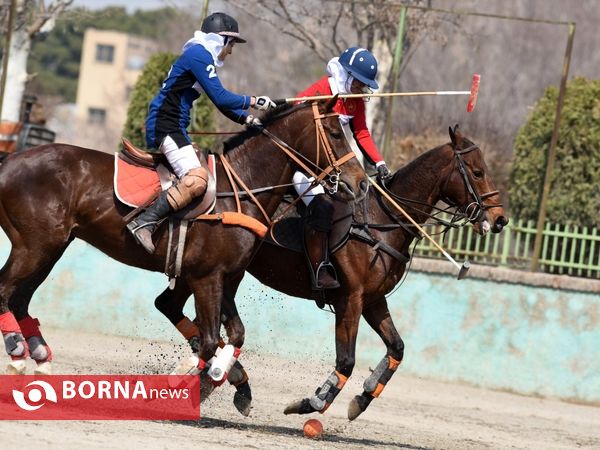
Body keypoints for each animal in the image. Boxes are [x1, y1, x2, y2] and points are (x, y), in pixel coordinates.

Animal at [0, 102, 366, 376]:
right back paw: (17, 351)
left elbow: (233, 334)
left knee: (19, 298)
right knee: (6, 291)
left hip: (51, 248)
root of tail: (10, 160)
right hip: (34, 247)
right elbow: (208, 340)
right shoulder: (206, 277)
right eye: (335, 133)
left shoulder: (225, 277)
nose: (361, 182)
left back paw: (38, 356)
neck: (242, 187)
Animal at [182, 124, 506, 418]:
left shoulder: (374, 300)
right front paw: (311, 402)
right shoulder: (350, 300)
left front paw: (362, 399)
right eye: (478, 172)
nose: (500, 219)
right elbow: (347, 360)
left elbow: (397, 347)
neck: (383, 221)